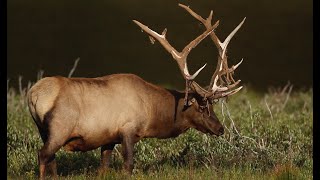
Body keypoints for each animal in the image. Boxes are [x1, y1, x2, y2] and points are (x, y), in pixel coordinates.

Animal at [28, 3, 245, 179]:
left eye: (212, 106)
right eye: (201, 107)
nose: (220, 128)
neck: (152, 112)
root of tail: (34, 95)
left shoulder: (109, 138)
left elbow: (103, 168)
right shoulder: (128, 129)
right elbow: (129, 165)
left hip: (43, 130)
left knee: (51, 159)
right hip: (60, 127)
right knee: (43, 155)